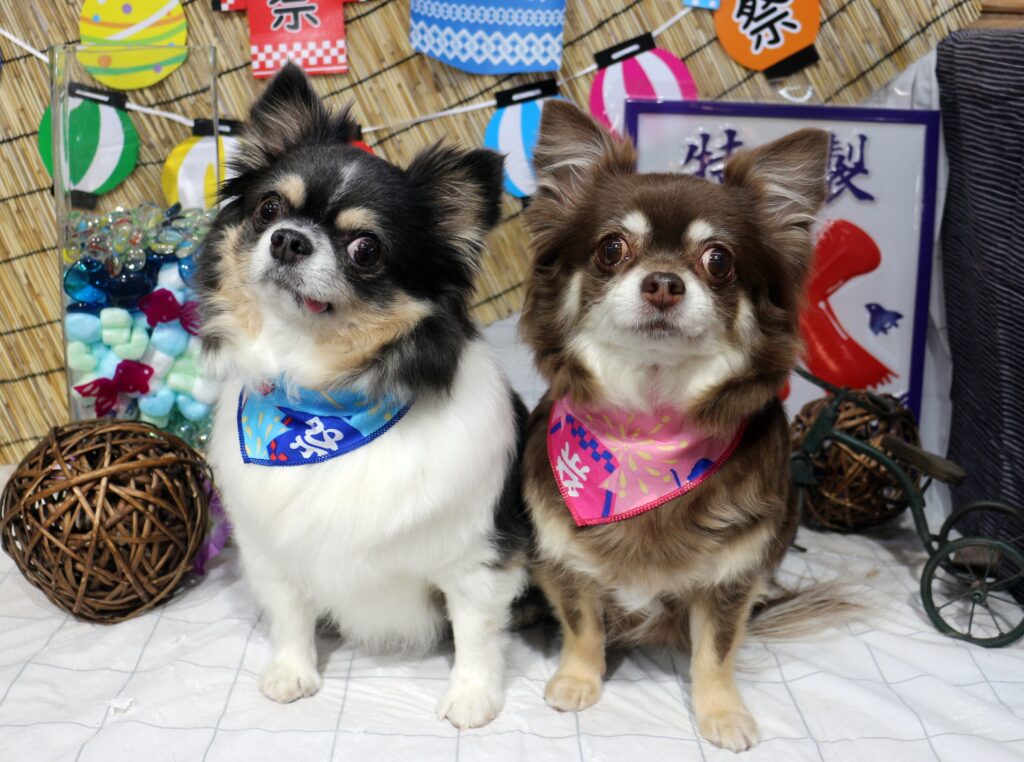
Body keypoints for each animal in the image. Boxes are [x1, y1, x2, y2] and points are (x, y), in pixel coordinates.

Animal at [196, 63, 529, 729]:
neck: (320, 403)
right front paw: (292, 672)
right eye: (269, 207)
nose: (289, 239)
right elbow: (289, 616)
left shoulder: (476, 559)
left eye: (365, 249)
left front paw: (473, 696)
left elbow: (477, 634)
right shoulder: (271, 554)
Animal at [519, 100, 833, 752]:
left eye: (719, 260)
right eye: (612, 248)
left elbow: (715, 651)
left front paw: (722, 713)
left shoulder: (732, 577)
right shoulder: (563, 559)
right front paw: (577, 681)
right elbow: (583, 625)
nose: (663, 282)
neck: (646, 429)